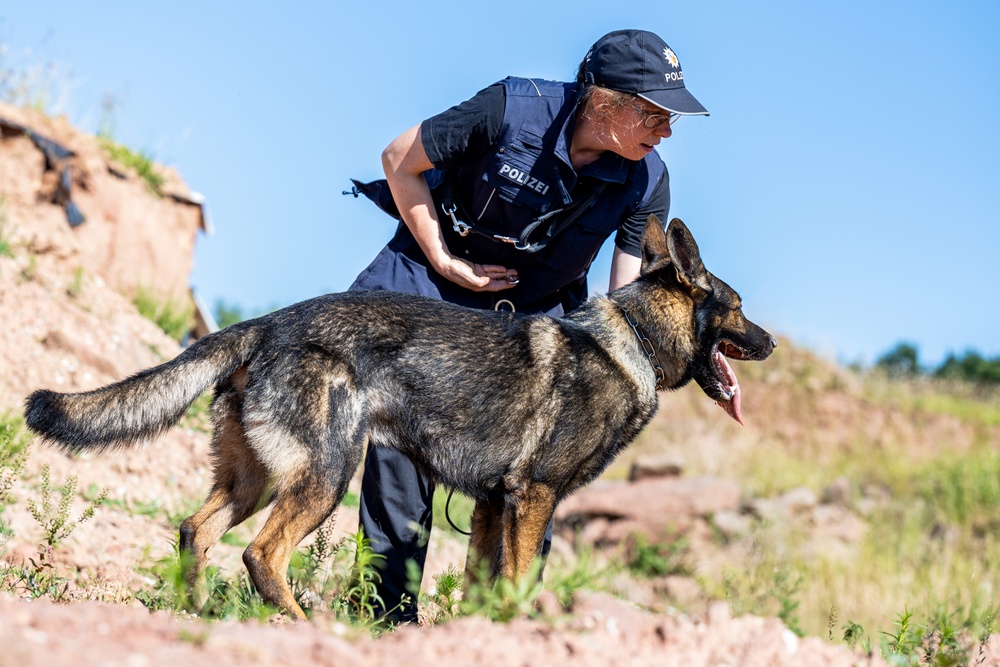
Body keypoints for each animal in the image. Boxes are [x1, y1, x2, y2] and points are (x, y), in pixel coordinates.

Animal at [21, 219, 772, 620]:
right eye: (738, 308)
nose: (770, 343)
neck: (634, 340)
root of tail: (266, 325)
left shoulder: (494, 507)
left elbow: (483, 583)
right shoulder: (532, 499)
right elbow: (519, 582)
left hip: (253, 479)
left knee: (194, 530)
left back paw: (200, 611)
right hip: (326, 475)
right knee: (262, 554)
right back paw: (299, 625)